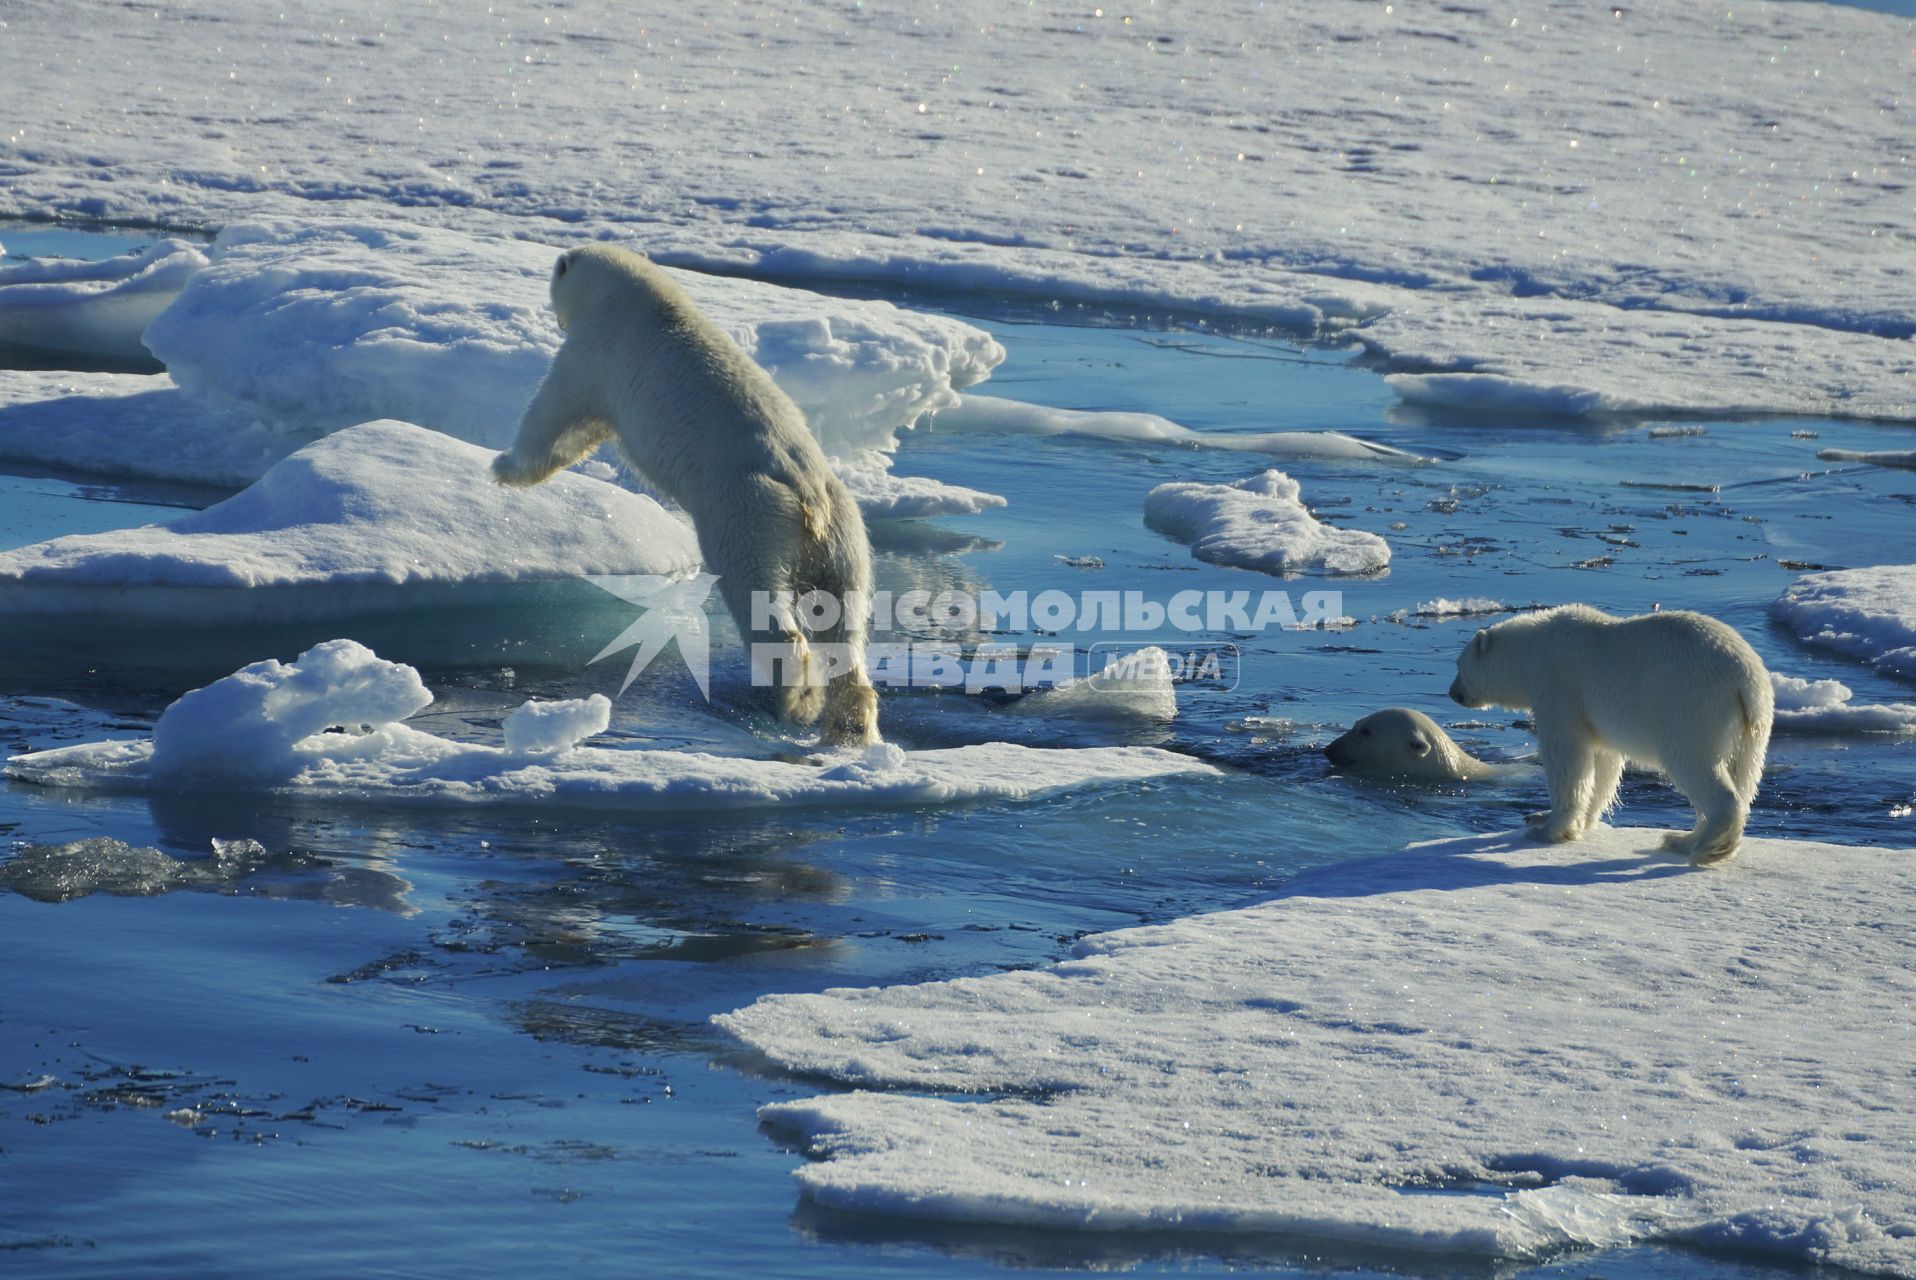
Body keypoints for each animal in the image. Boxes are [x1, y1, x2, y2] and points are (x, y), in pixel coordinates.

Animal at [494, 245, 881, 743]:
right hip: (846, 536)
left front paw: (505, 467)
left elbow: (557, 411)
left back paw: (795, 701)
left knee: (758, 596)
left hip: (745, 511)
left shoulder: (595, 351)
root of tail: (806, 491)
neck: (641, 298)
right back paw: (850, 723)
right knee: (844, 619)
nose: (556, 318)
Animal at [1448, 605, 1778, 866]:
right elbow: (1603, 763)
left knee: (1695, 764)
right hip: (1752, 728)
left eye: (1459, 666)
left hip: (1692, 703)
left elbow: (1567, 756)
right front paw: (1566, 819)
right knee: (1743, 774)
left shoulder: (1559, 684)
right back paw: (1682, 839)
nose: (1452, 693)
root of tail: (1745, 681)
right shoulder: (1596, 719)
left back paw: (1705, 848)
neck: (1532, 648)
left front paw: (1547, 828)